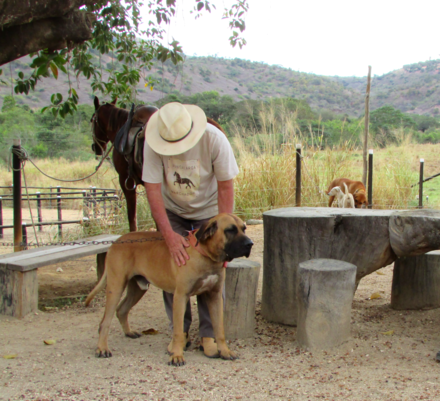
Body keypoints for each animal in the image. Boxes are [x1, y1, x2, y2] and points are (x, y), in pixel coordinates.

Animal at [84, 212, 253, 366]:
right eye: (230, 230)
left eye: (244, 229)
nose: (250, 244)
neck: (206, 256)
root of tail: (117, 241)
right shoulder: (180, 297)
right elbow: (178, 331)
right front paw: (177, 356)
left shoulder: (214, 296)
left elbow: (219, 329)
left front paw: (224, 351)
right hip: (116, 286)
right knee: (105, 321)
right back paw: (102, 348)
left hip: (137, 288)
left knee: (121, 310)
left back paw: (129, 332)